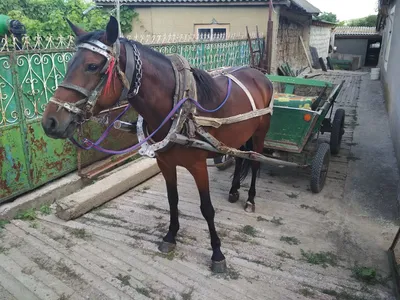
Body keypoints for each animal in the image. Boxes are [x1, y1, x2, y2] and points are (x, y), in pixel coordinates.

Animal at [42, 17, 274, 274]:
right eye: (69, 63)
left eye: (92, 66)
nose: (50, 122)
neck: (179, 108)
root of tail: (259, 74)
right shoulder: (166, 163)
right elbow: (172, 200)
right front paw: (170, 237)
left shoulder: (198, 166)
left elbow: (206, 208)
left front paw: (217, 253)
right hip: (240, 135)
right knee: (241, 157)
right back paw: (234, 190)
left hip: (260, 133)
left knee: (254, 162)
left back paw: (250, 200)